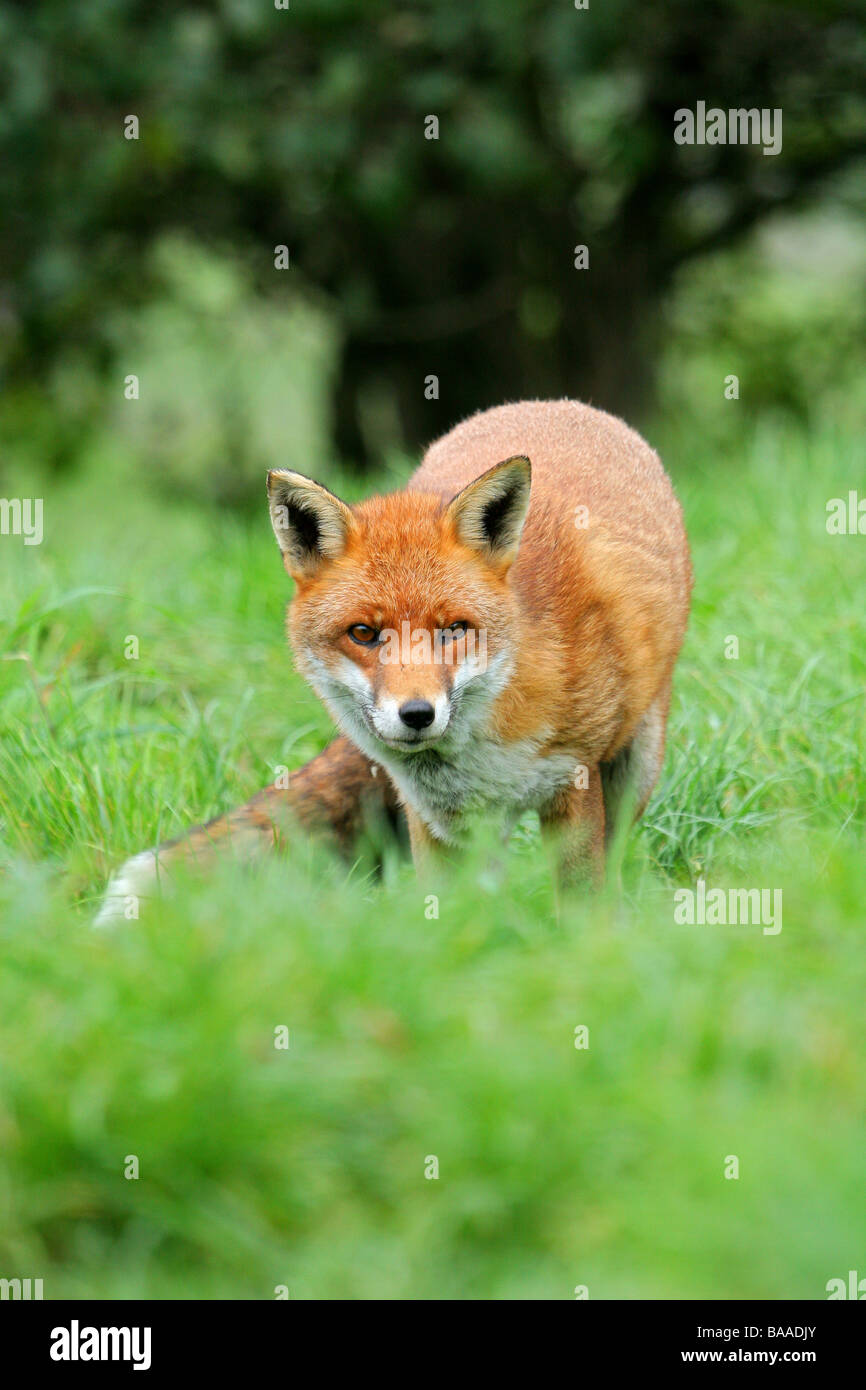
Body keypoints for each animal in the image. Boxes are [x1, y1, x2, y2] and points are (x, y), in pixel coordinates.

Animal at [96, 400, 691, 922]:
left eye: (454, 631)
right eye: (363, 633)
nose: (417, 714)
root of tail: (556, 403)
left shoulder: (573, 787)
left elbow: (582, 907)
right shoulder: (437, 818)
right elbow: (452, 919)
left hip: (637, 764)